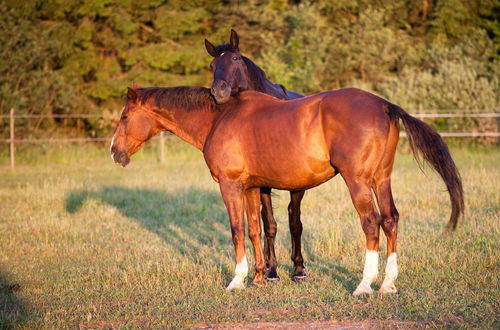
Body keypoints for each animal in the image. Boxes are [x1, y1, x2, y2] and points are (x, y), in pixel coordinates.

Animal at [110, 84, 464, 294]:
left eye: (125, 116)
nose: (115, 152)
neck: (221, 118)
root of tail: (383, 105)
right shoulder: (251, 187)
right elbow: (255, 229)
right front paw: (258, 276)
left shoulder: (230, 185)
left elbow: (236, 229)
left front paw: (236, 280)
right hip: (381, 179)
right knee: (390, 219)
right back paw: (388, 284)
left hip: (359, 181)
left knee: (371, 223)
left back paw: (365, 284)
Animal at [205, 29, 306, 282]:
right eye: (212, 65)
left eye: (235, 59)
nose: (218, 92)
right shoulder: (262, 184)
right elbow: (268, 224)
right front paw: (271, 270)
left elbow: (294, 223)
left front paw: (298, 269)